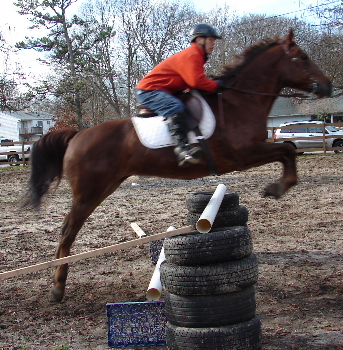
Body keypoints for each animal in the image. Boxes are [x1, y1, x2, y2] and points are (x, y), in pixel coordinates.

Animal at [22, 29, 334, 300]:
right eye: (303, 57)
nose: (329, 85)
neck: (240, 101)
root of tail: (77, 135)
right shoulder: (244, 154)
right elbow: (287, 149)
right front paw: (277, 188)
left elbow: (288, 150)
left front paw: (278, 187)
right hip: (89, 192)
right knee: (67, 232)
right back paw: (57, 287)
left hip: (106, 186)